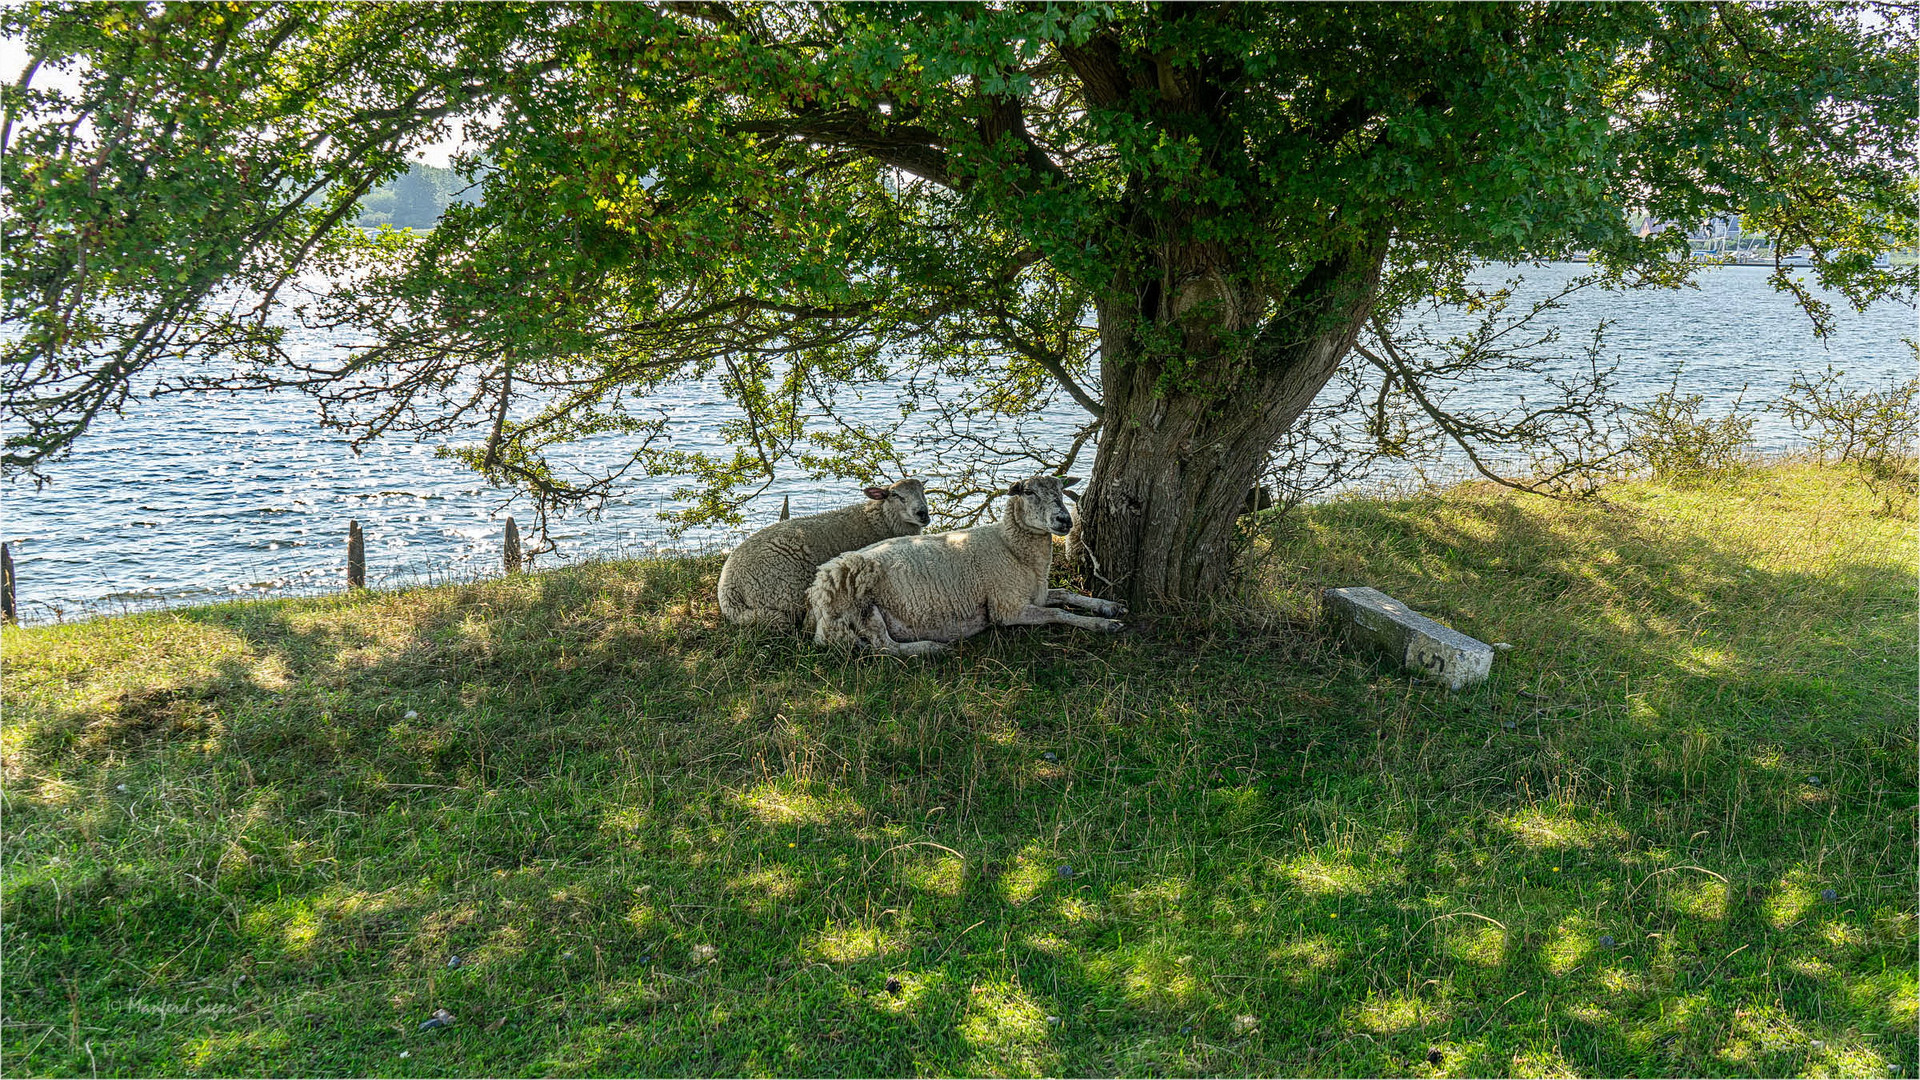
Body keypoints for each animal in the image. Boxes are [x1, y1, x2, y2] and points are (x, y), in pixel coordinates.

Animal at [721, 474, 929, 626]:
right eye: (896, 495)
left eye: (923, 491)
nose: (923, 513)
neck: (879, 519)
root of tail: (728, 588)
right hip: (785, 592)